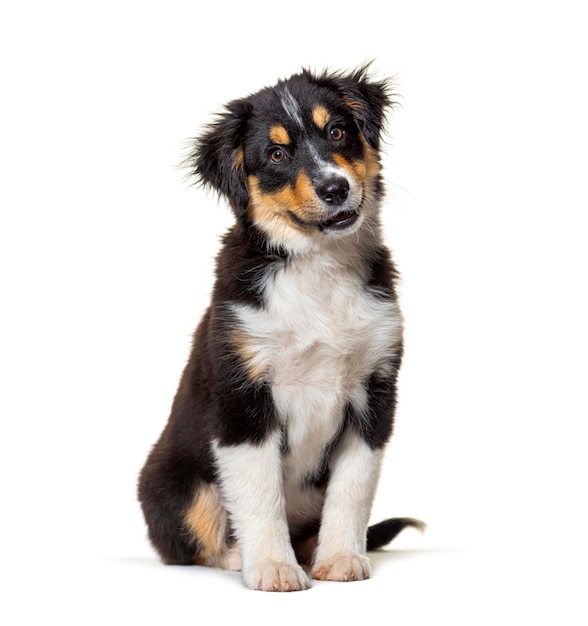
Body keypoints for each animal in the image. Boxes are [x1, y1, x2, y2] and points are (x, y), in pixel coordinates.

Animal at [138, 66, 422, 588]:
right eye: (276, 154)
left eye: (338, 131)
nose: (335, 189)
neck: (317, 267)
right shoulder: (242, 397)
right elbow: (260, 494)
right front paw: (272, 566)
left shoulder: (374, 392)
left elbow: (352, 490)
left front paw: (341, 558)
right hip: (177, 482)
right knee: (192, 540)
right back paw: (240, 556)